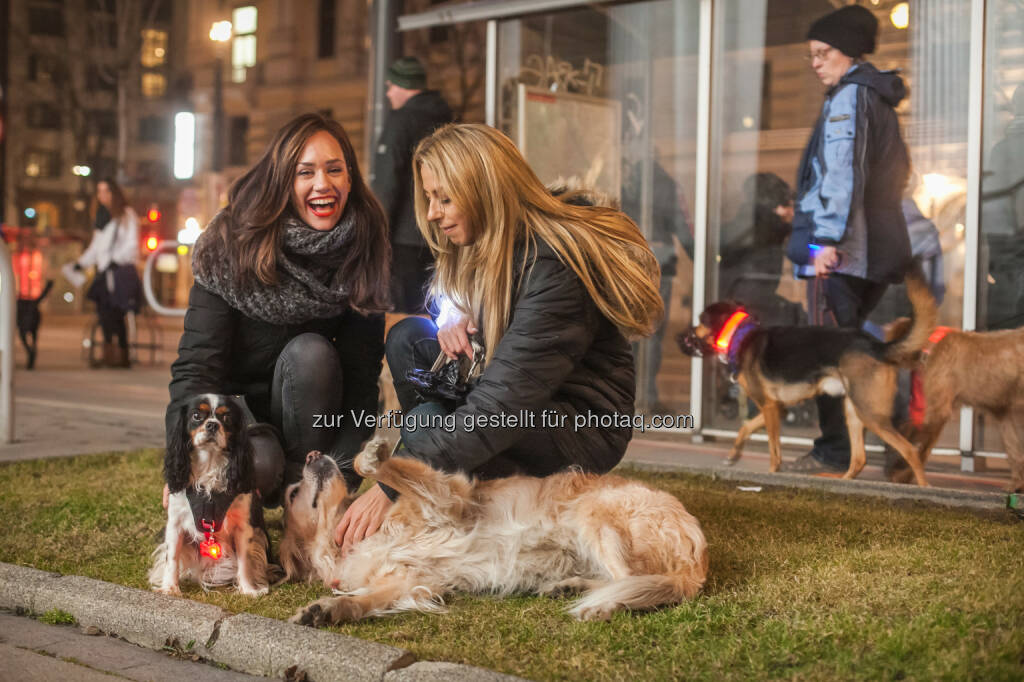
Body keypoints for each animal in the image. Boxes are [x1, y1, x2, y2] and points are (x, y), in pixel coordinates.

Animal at [679, 266, 937, 483]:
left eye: (700, 321)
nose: (682, 336)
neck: (739, 335)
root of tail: (877, 345)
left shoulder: (770, 409)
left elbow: (774, 451)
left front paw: (772, 473)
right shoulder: (776, 407)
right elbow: (746, 427)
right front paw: (734, 454)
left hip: (870, 413)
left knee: (910, 451)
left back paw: (923, 488)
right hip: (854, 411)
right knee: (859, 459)